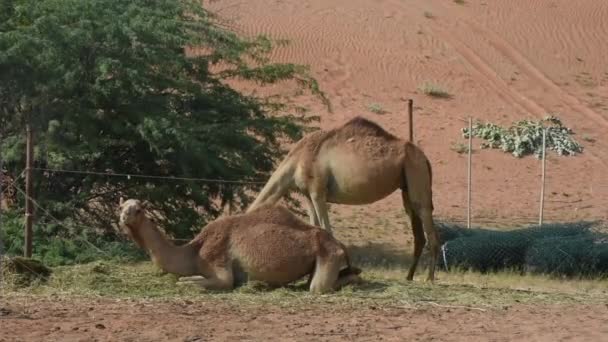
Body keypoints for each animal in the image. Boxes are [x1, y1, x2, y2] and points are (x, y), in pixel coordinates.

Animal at [120, 198, 360, 294]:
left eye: (138, 210)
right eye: (122, 206)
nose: (124, 217)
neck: (194, 250)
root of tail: (340, 244)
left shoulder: (218, 262)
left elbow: (206, 282)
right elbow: (186, 279)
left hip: (329, 255)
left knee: (318, 287)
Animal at [245, 116, 440, 282]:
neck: (297, 160)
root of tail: (425, 158)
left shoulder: (318, 191)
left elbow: (326, 229)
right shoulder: (307, 194)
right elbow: (315, 227)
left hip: (416, 172)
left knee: (426, 218)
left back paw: (429, 278)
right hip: (406, 185)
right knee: (417, 228)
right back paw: (409, 276)